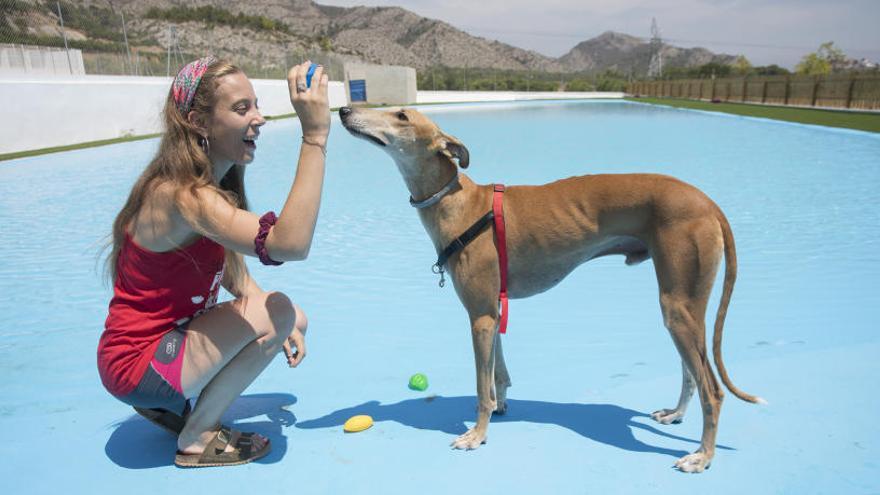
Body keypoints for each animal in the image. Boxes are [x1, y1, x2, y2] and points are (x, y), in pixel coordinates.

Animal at [336, 105, 764, 472]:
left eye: (402, 115)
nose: (343, 110)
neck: (460, 202)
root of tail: (707, 201)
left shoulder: (480, 316)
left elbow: (481, 389)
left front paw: (476, 435)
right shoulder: (493, 311)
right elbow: (498, 375)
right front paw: (501, 407)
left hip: (678, 306)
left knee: (713, 390)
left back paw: (702, 457)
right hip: (682, 309)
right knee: (692, 373)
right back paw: (675, 415)